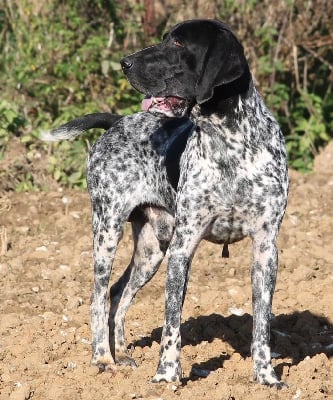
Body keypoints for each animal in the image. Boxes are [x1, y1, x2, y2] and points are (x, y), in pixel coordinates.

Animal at [42, 18, 288, 388]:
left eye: (178, 43)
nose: (125, 63)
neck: (229, 144)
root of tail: (117, 121)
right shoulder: (183, 248)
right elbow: (172, 321)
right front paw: (167, 375)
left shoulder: (265, 248)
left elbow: (262, 325)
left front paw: (266, 377)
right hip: (107, 232)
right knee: (98, 297)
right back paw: (102, 359)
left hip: (151, 249)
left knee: (118, 294)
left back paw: (122, 353)